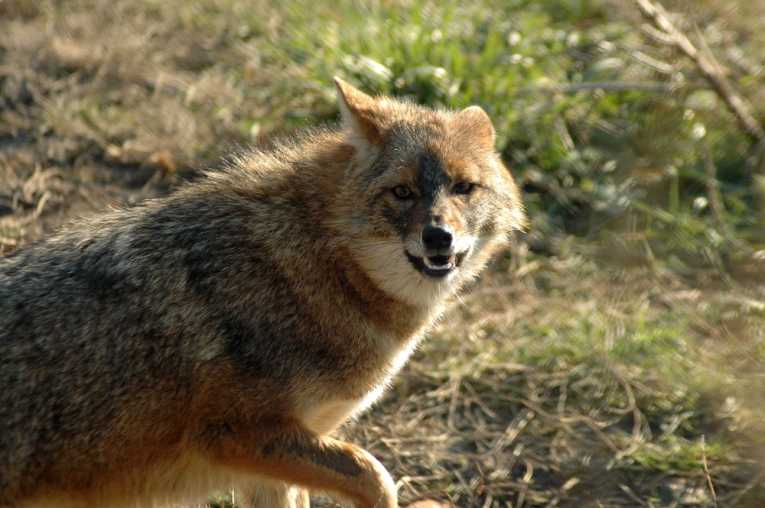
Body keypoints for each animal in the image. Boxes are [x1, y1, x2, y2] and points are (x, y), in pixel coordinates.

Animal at [0, 78, 526, 508]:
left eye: (463, 188)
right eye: (403, 192)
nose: (439, 238)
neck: (315, 263)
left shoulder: (273, 461)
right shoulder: (239, 435)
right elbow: (375, 475)